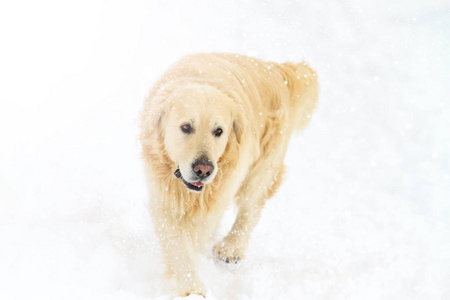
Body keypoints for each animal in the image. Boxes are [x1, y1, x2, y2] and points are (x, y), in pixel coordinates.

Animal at [139, 52, 318, 296]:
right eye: (186, 127)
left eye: (219, 131)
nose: (204, 169)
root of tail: (274, 68)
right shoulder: (162, 196)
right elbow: (177, 244)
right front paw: (191, 287)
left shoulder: (218, 193)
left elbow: (197, 233)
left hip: (263, 166)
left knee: (251, 208)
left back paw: (231, 248)